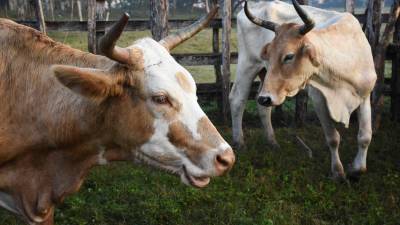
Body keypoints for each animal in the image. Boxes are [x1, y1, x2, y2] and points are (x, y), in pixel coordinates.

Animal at [230, 0, 376, 179]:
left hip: (265, 78)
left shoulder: (365, 95)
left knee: (263, 107)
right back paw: (239, 143)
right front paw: (337, 172)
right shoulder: (319, 99)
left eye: (289, 56)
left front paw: (357, 168)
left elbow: (365, 136)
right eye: (269, 55)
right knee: (238, 99)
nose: (266, 98)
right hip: (248, 64)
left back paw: (272, 142)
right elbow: (333, 138)